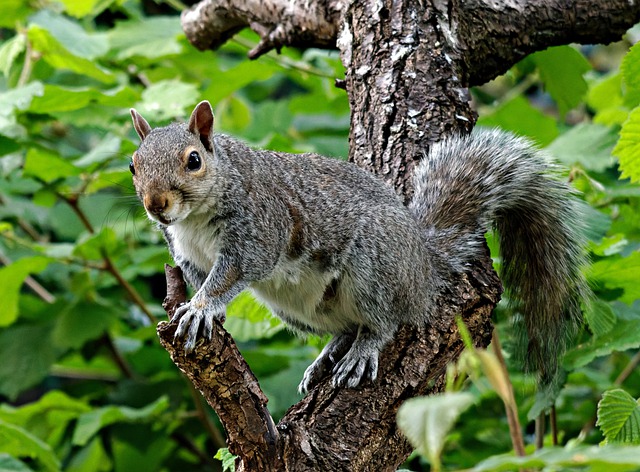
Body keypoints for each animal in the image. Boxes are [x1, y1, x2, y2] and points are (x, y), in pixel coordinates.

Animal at [127, 100, 588, 394]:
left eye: (193, 160)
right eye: (133, 165)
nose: (155, 204)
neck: (194, 220)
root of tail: (422, 267)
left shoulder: (259, 231)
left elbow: (231, 276)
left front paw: (201, 309)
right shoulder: (187, 255)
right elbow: (201, 280)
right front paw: (204, 312)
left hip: (374, 267)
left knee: (383, 323)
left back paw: (361, 352)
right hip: (298, 307)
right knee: (345, 326)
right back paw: (326, 358)